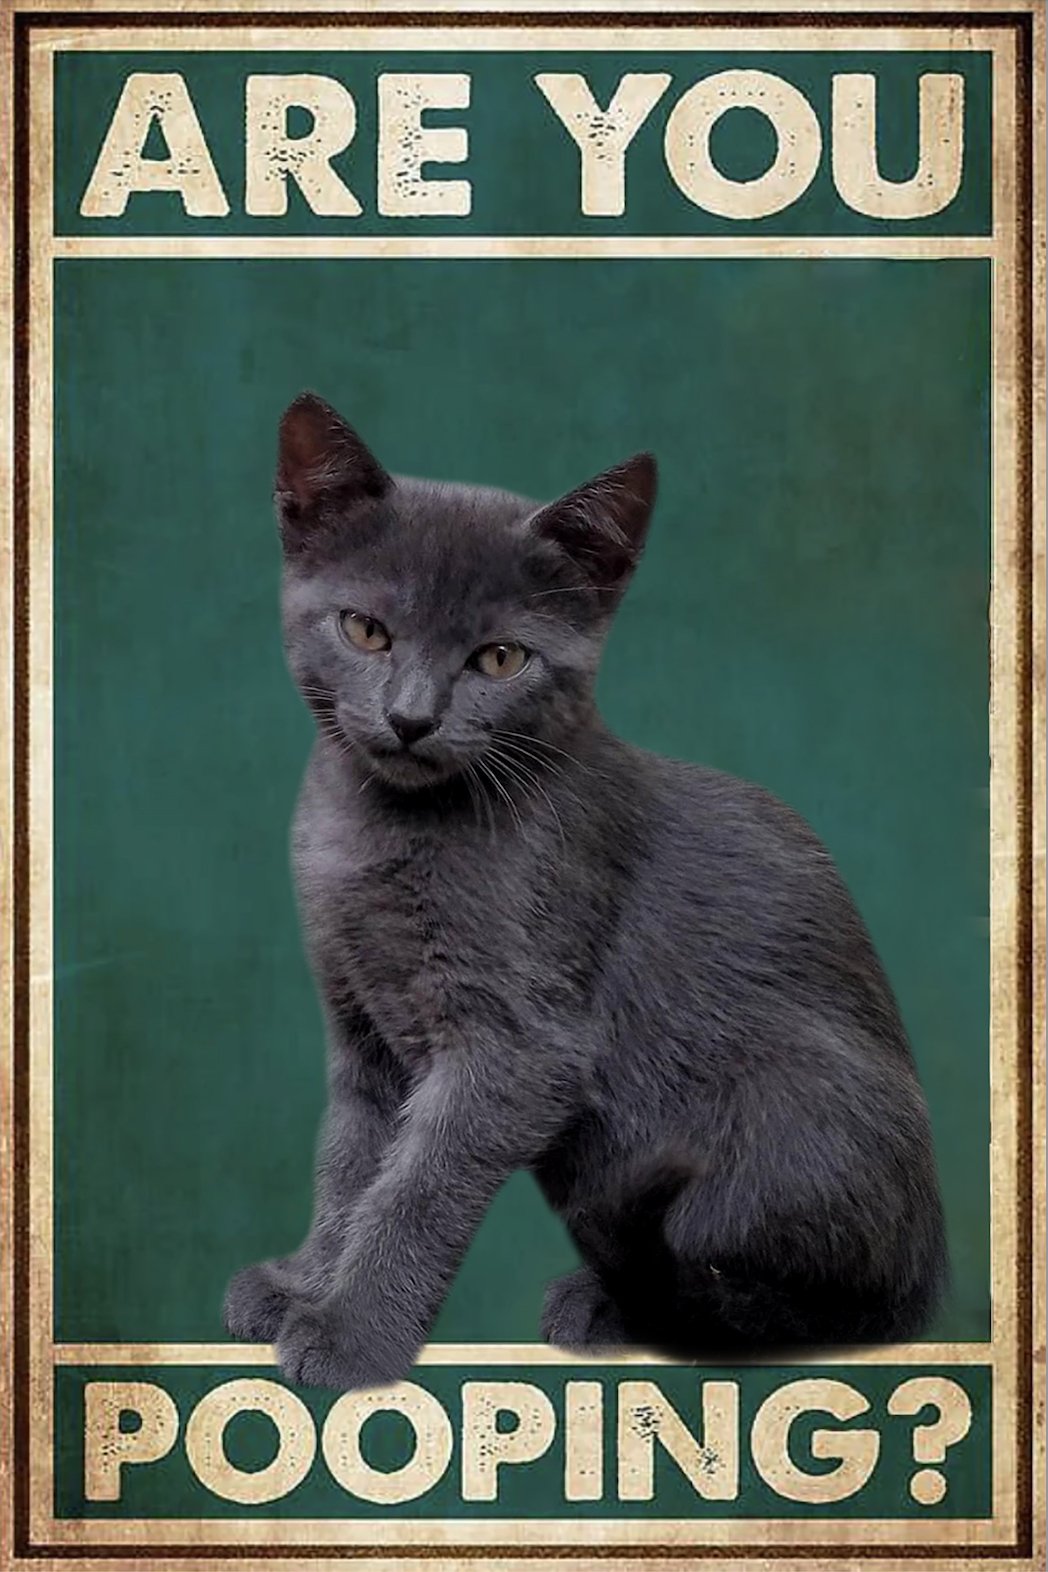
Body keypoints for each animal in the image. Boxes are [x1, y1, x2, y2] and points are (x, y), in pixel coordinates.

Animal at [223, 391, 948, 1390]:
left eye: (498, 660)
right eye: (365, 630)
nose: (411, 718)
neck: (384, 831)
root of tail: (935, 1269)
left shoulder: (519, 1047)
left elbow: (418, 1189)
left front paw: (348, 1333)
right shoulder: (362, 1029)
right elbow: (351, 1162)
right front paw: (304, 1284)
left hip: (793, 1101)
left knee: (831, 1308)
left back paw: (626, 1303)